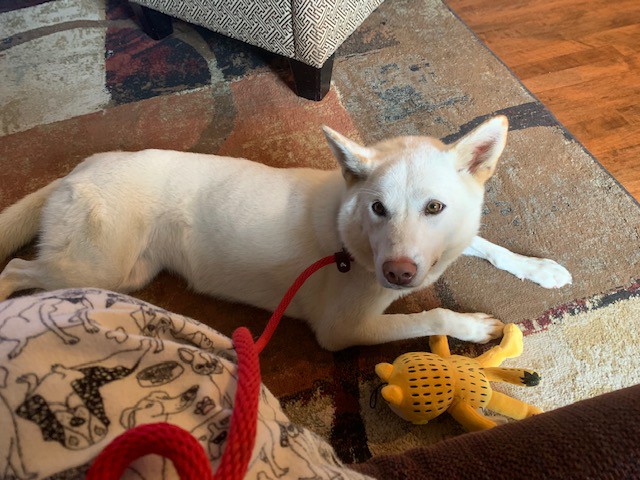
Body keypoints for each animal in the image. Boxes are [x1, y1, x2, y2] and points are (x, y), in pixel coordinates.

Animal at [0, 116, 571, 350]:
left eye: (435, 207)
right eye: (378, 208)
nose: (398, 275)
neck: (351, 239)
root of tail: (77, 170)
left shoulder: (443, 245)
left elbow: (487, 246)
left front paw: (540, 269)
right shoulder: (342, 331)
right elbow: (428, 314)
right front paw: (470, 327)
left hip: (128, 272)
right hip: (98, 269)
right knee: (17, 268)